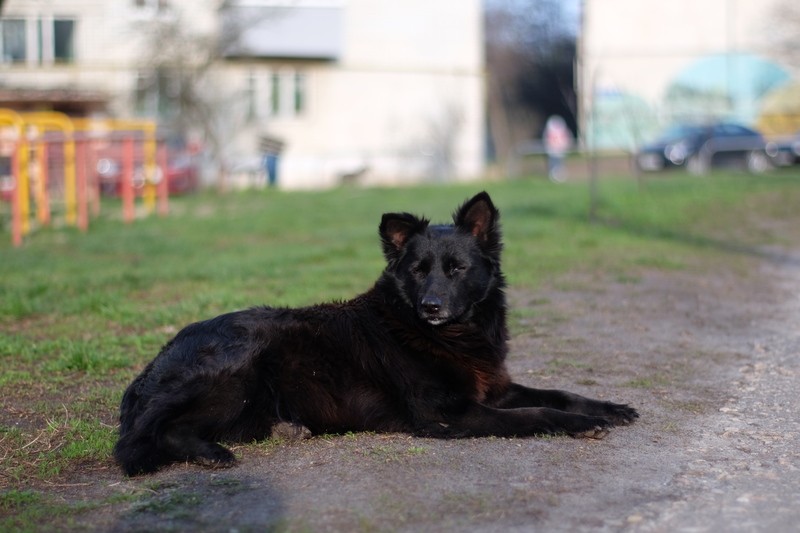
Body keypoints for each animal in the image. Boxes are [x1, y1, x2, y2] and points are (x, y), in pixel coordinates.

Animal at [114, 191, 636, 474]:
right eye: (419, 270)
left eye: (457, 268)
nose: (430, 307)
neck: (445, 335)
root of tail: (156, 363)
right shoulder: (447, 414)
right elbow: (535, 413)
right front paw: (581, 424)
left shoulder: (494, 387)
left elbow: (560, 393)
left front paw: (609, 408)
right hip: (238, 369)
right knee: (152, 434)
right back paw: (208, 454)